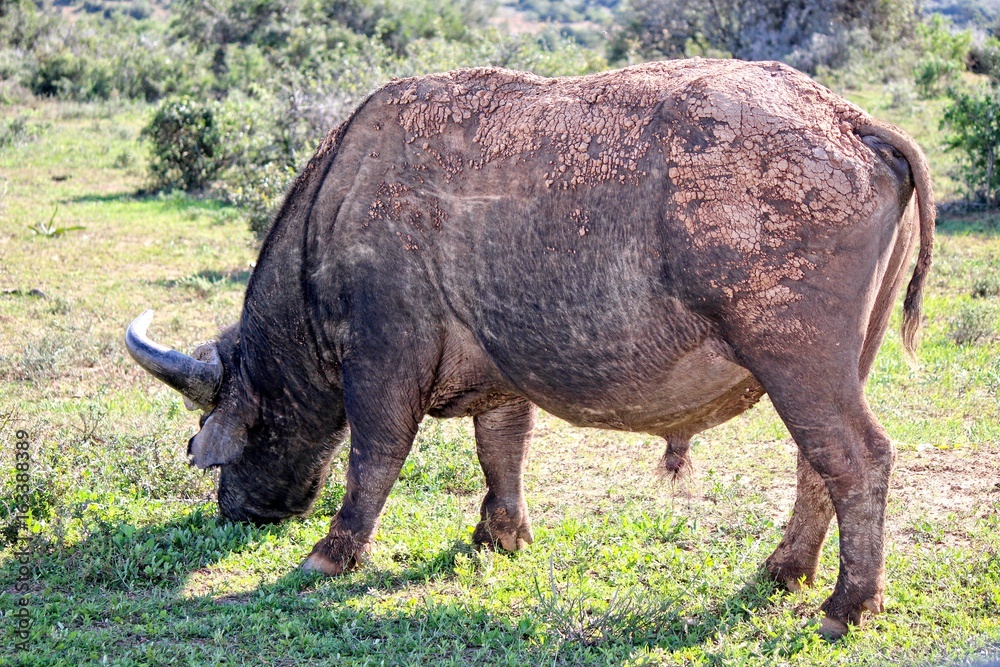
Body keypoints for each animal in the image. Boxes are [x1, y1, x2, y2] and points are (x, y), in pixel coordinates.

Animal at [126, 58, 934, 638]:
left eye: (212, 440)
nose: (236, 511)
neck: (341, 201)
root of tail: (848, 120)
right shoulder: (502, 374)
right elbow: (502, 449)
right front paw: (500, 534)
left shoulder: (382, 363)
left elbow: (374, 457)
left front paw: (332, 552)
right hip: (839, 365)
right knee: (816, 462)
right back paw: (784, 570)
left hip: (796, 360)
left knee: (857, 458)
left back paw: (848, 604)